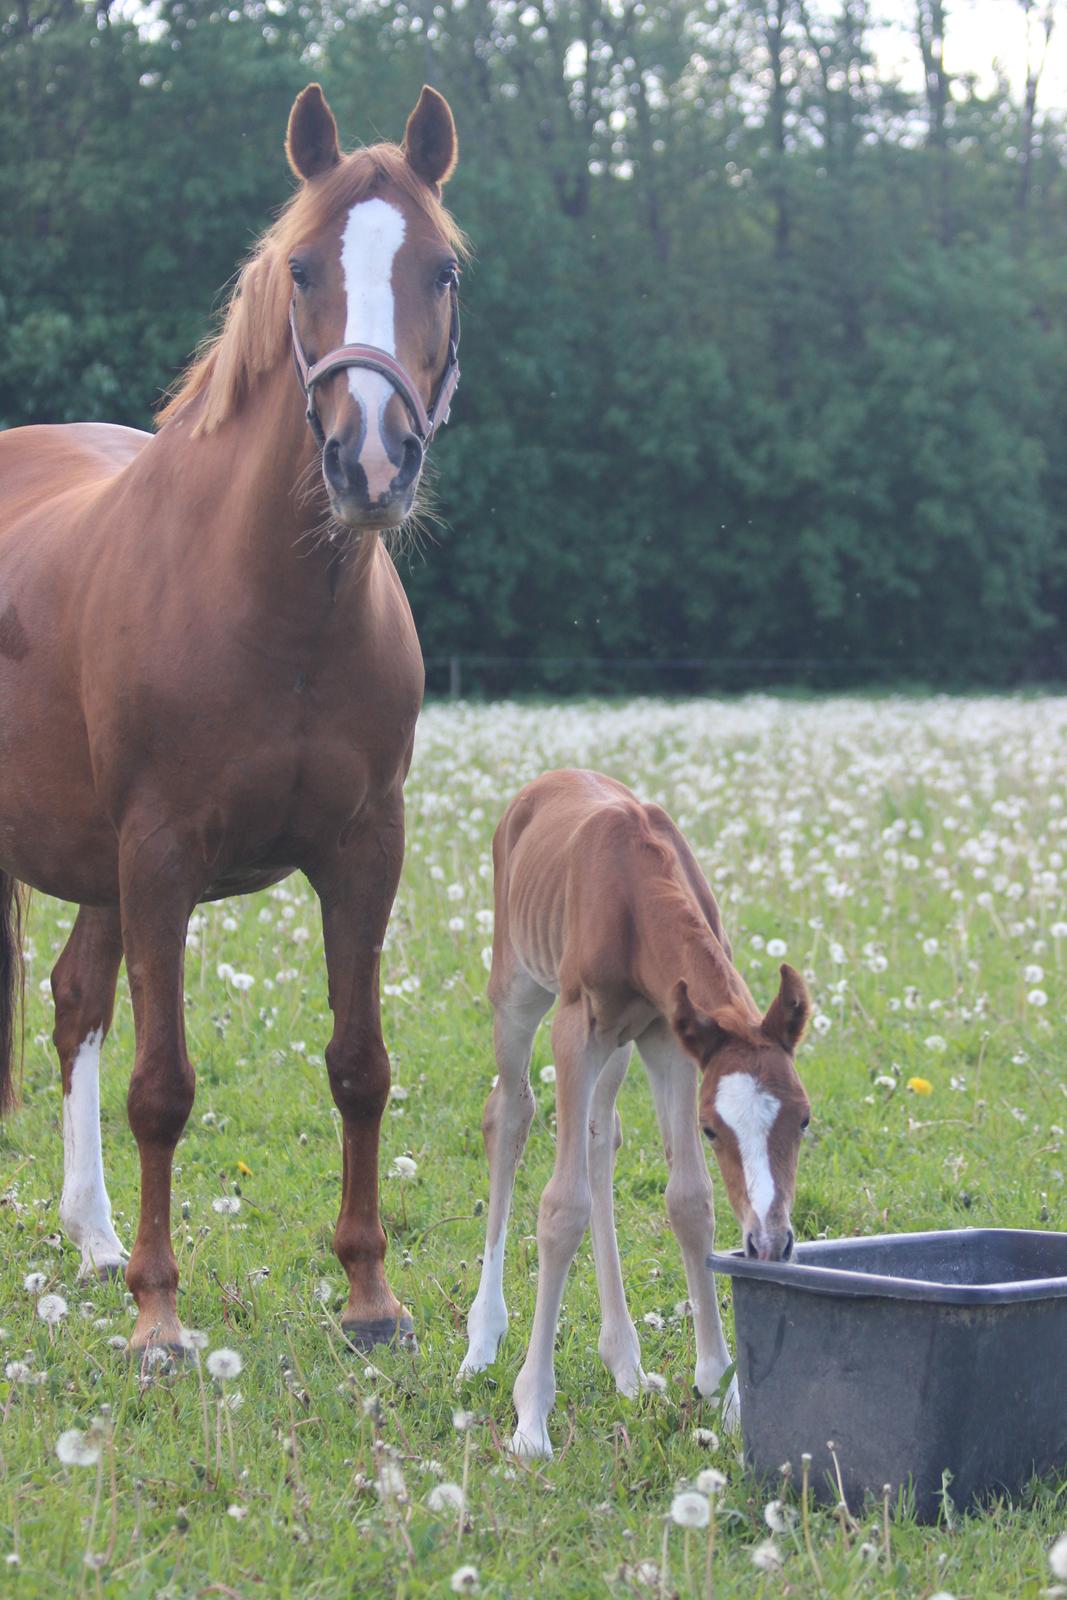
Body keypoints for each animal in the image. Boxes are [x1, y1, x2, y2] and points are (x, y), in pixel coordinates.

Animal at [1, 84, 467, 1350]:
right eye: (301, 268)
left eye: (443, 269)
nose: (372, 461)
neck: (276, 610)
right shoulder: (161, 857)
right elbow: (162, 1087)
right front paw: (160, 1318)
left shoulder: (362, 850)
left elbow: (360, 1065)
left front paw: (369, 1298)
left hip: (95, 866)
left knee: (74, 1004)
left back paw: (94, 1235)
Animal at [460, 768, 809, 1459]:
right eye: (712, 1128)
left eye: (803, 1120)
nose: (770, 1242)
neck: (632, 891)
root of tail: (541, 784)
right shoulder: (577, 1029)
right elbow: (561, 1208)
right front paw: (531, 1418)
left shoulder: (670, 1038)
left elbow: (690, 1200)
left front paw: (724, 1391)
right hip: (518, 992)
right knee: (510, 1115)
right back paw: (483, 1338)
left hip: (618, 1048)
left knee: (600, 1137)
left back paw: (623, 1360)